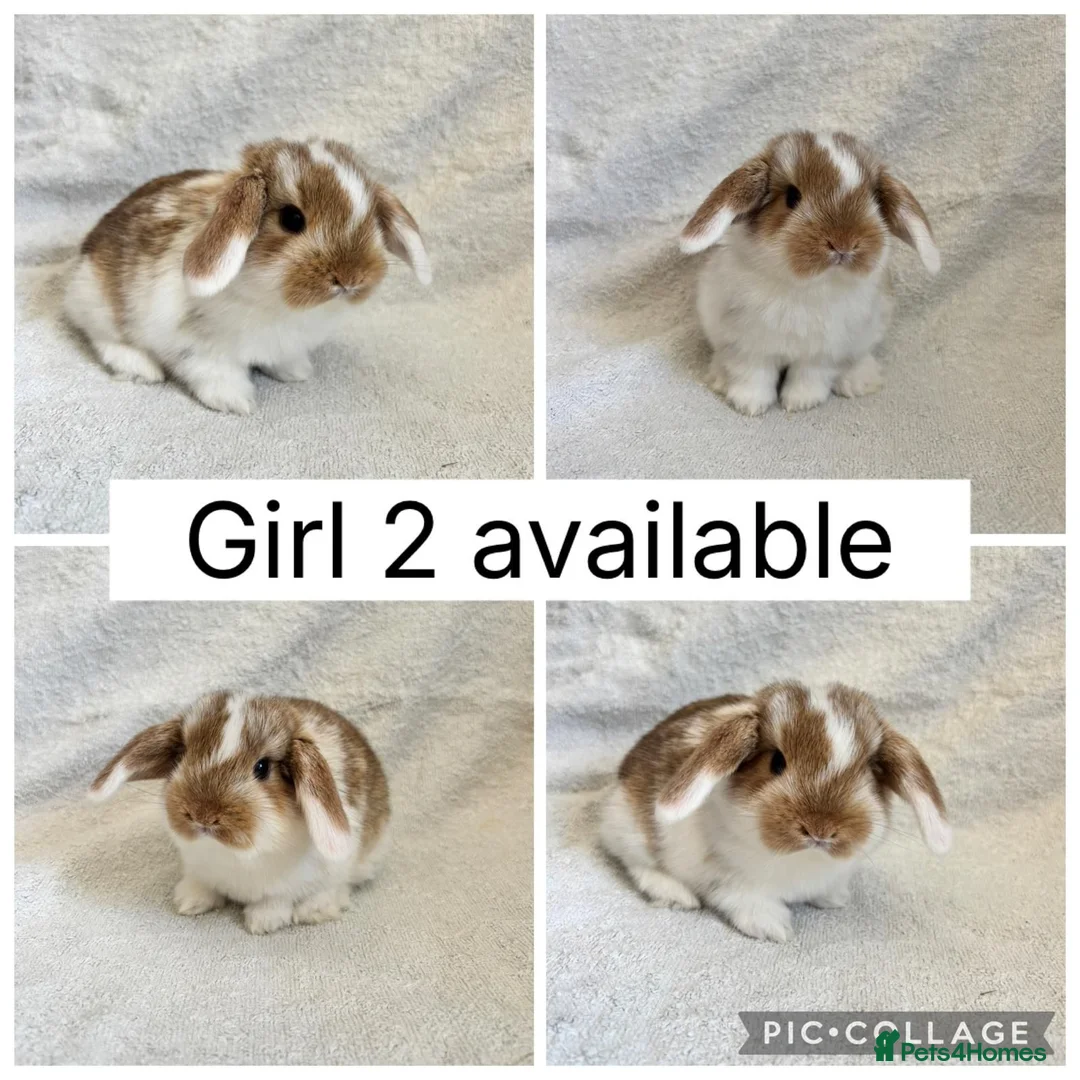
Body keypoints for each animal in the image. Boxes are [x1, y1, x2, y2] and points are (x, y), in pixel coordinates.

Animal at [64, 137, 431, 415]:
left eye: (372, 220)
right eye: (292, 219)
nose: (350, 278)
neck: (271, 300)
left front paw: (298, 373)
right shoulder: (198, 346)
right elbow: (214, 372)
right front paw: (236, 402)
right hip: (99, 304)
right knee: (103, 339)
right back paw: (143, 369)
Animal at [89, 692, 390, 934]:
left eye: (262, 767)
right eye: (183, 755)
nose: (201, 816)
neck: (230, 854)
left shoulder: (289, 883)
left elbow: (276, 899)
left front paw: (263, 923)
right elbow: (202, 885)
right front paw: (188, 901)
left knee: (338, 887)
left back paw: (313, 911)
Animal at [599, 681, 950, 942]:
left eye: (868, 771)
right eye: (776, 762)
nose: (820, 829)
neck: (804, 861)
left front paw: (834, 899)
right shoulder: (727, 877)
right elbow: (742, 899)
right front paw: (773, 928)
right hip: (631, 830)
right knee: (638, 865)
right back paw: (677, 895)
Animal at [679, 130, 939, 416]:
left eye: (873, 198)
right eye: (792, 196)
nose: (843, 243)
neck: (809, 286)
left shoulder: (824, 351)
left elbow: (809, 376)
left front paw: (800, 403)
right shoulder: (749, 343)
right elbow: (753, 374)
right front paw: (749, 405)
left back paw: (859, 382)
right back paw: (720, 379)